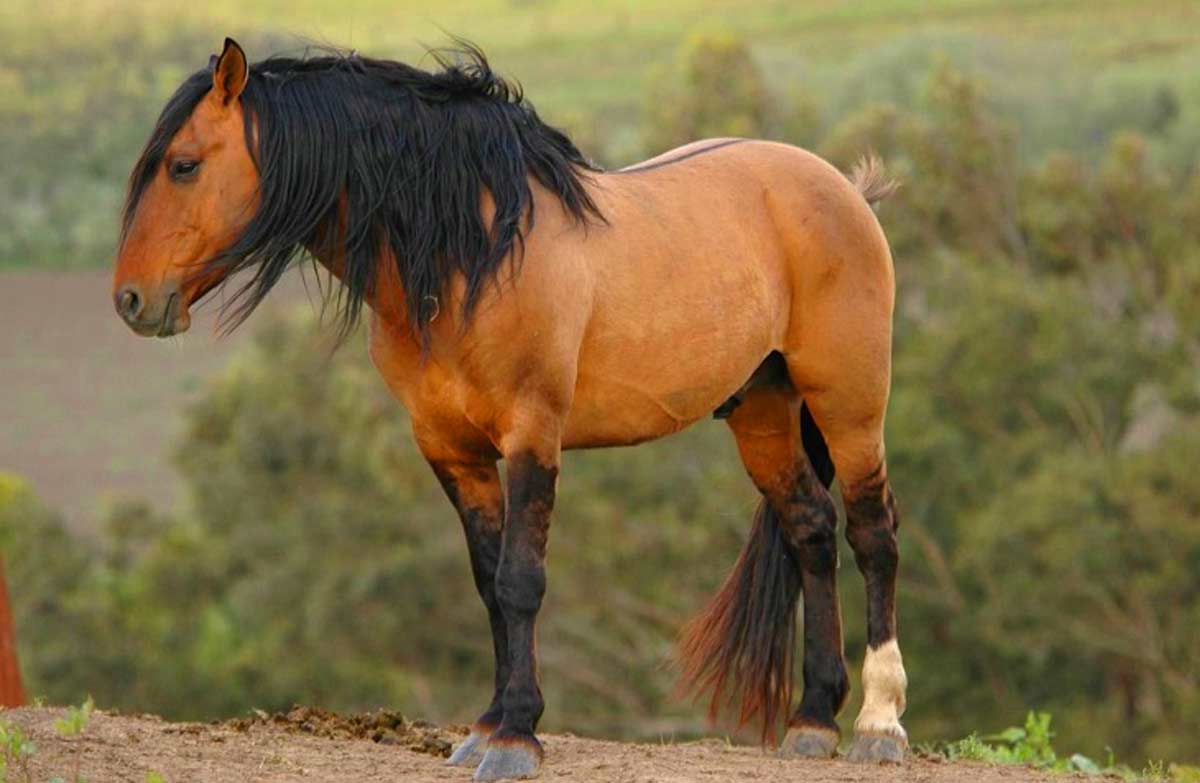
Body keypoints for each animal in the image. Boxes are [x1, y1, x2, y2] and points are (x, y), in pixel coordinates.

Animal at [112, 38, 907, 780]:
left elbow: (521, 582)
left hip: (851, 405)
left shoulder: (533, 436)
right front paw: (488, 726)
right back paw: (813, 719)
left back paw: (878, 726)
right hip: (762, 413)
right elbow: (488, 583)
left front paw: (518, 737)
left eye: (183, 165)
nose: (131, 301)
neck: (469, 256)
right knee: (811, 529)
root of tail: (844, 190)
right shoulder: (450, 449)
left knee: (873, 535)